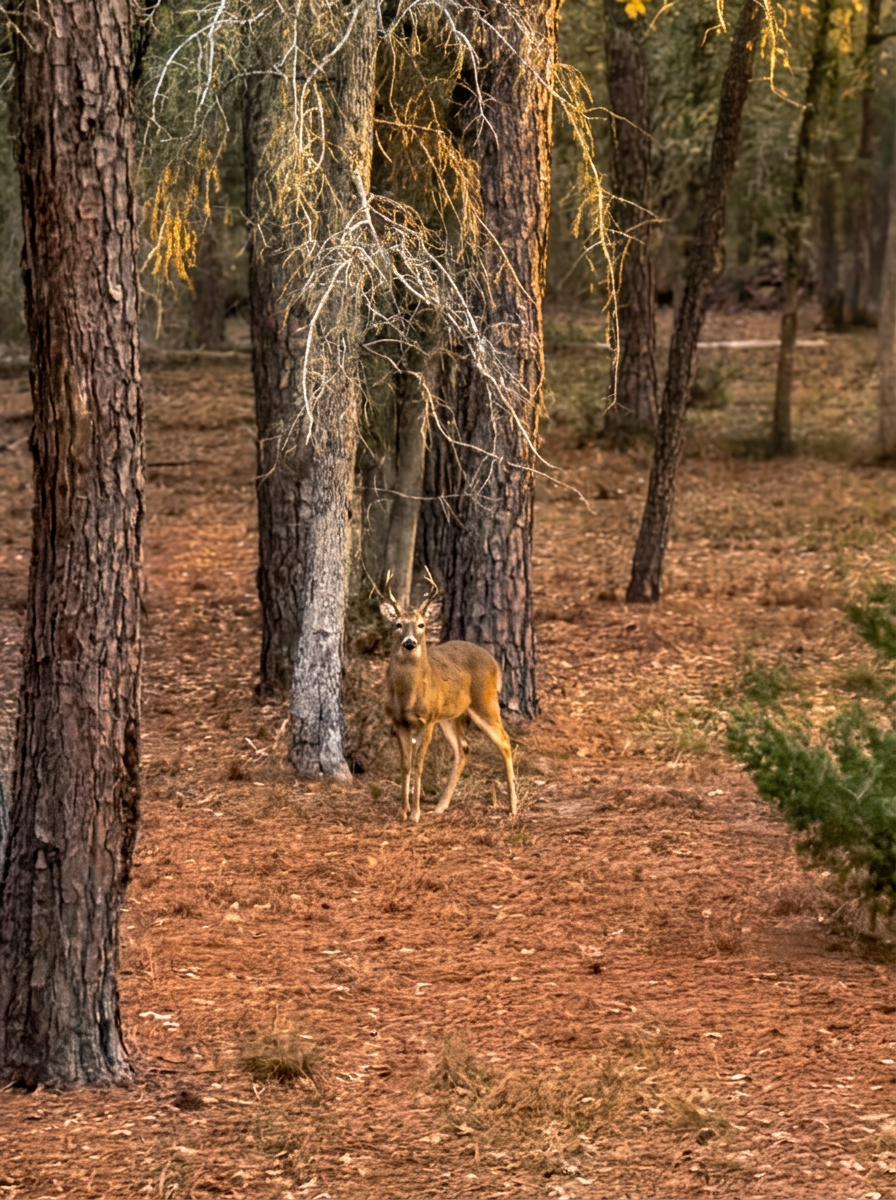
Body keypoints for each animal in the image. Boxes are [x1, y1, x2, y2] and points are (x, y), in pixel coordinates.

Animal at [379, 569, 518, 823]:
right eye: (398, 624)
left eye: (421, 625)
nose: (410, 643)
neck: (407, 696)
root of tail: (495, 664)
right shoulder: (398, 721)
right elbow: (405, 765)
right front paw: (402, 811)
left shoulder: (428, 719)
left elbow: (418, 764)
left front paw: (415, 814)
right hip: (450, 716)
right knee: (463, 748)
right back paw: (441, 805)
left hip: (485, 702)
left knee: (504, 740)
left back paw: (513, 807)